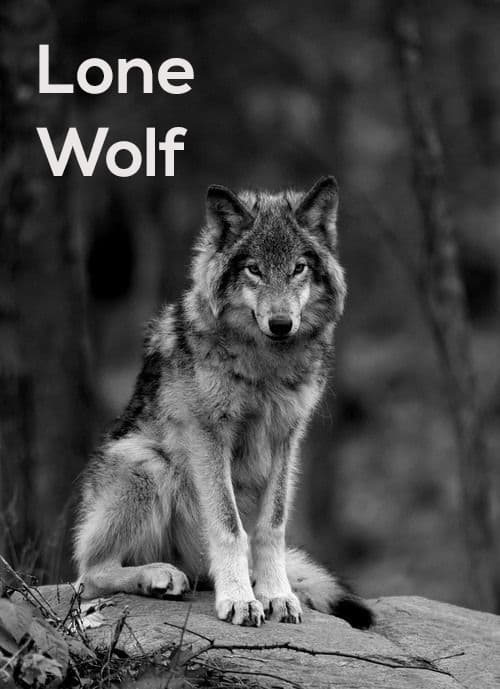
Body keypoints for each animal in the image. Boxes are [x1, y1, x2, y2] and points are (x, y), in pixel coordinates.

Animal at [74, 176, 373, 629]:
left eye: (298, 268)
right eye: (254, 269)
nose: (281, 323)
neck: (266, 364)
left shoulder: (287, 437)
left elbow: (271, 526)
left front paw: (276, 593)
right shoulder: (208, 433)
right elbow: (229, 526)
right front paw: (239, 599)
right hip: (148, 462)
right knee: (87, 575)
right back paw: (158, 576)